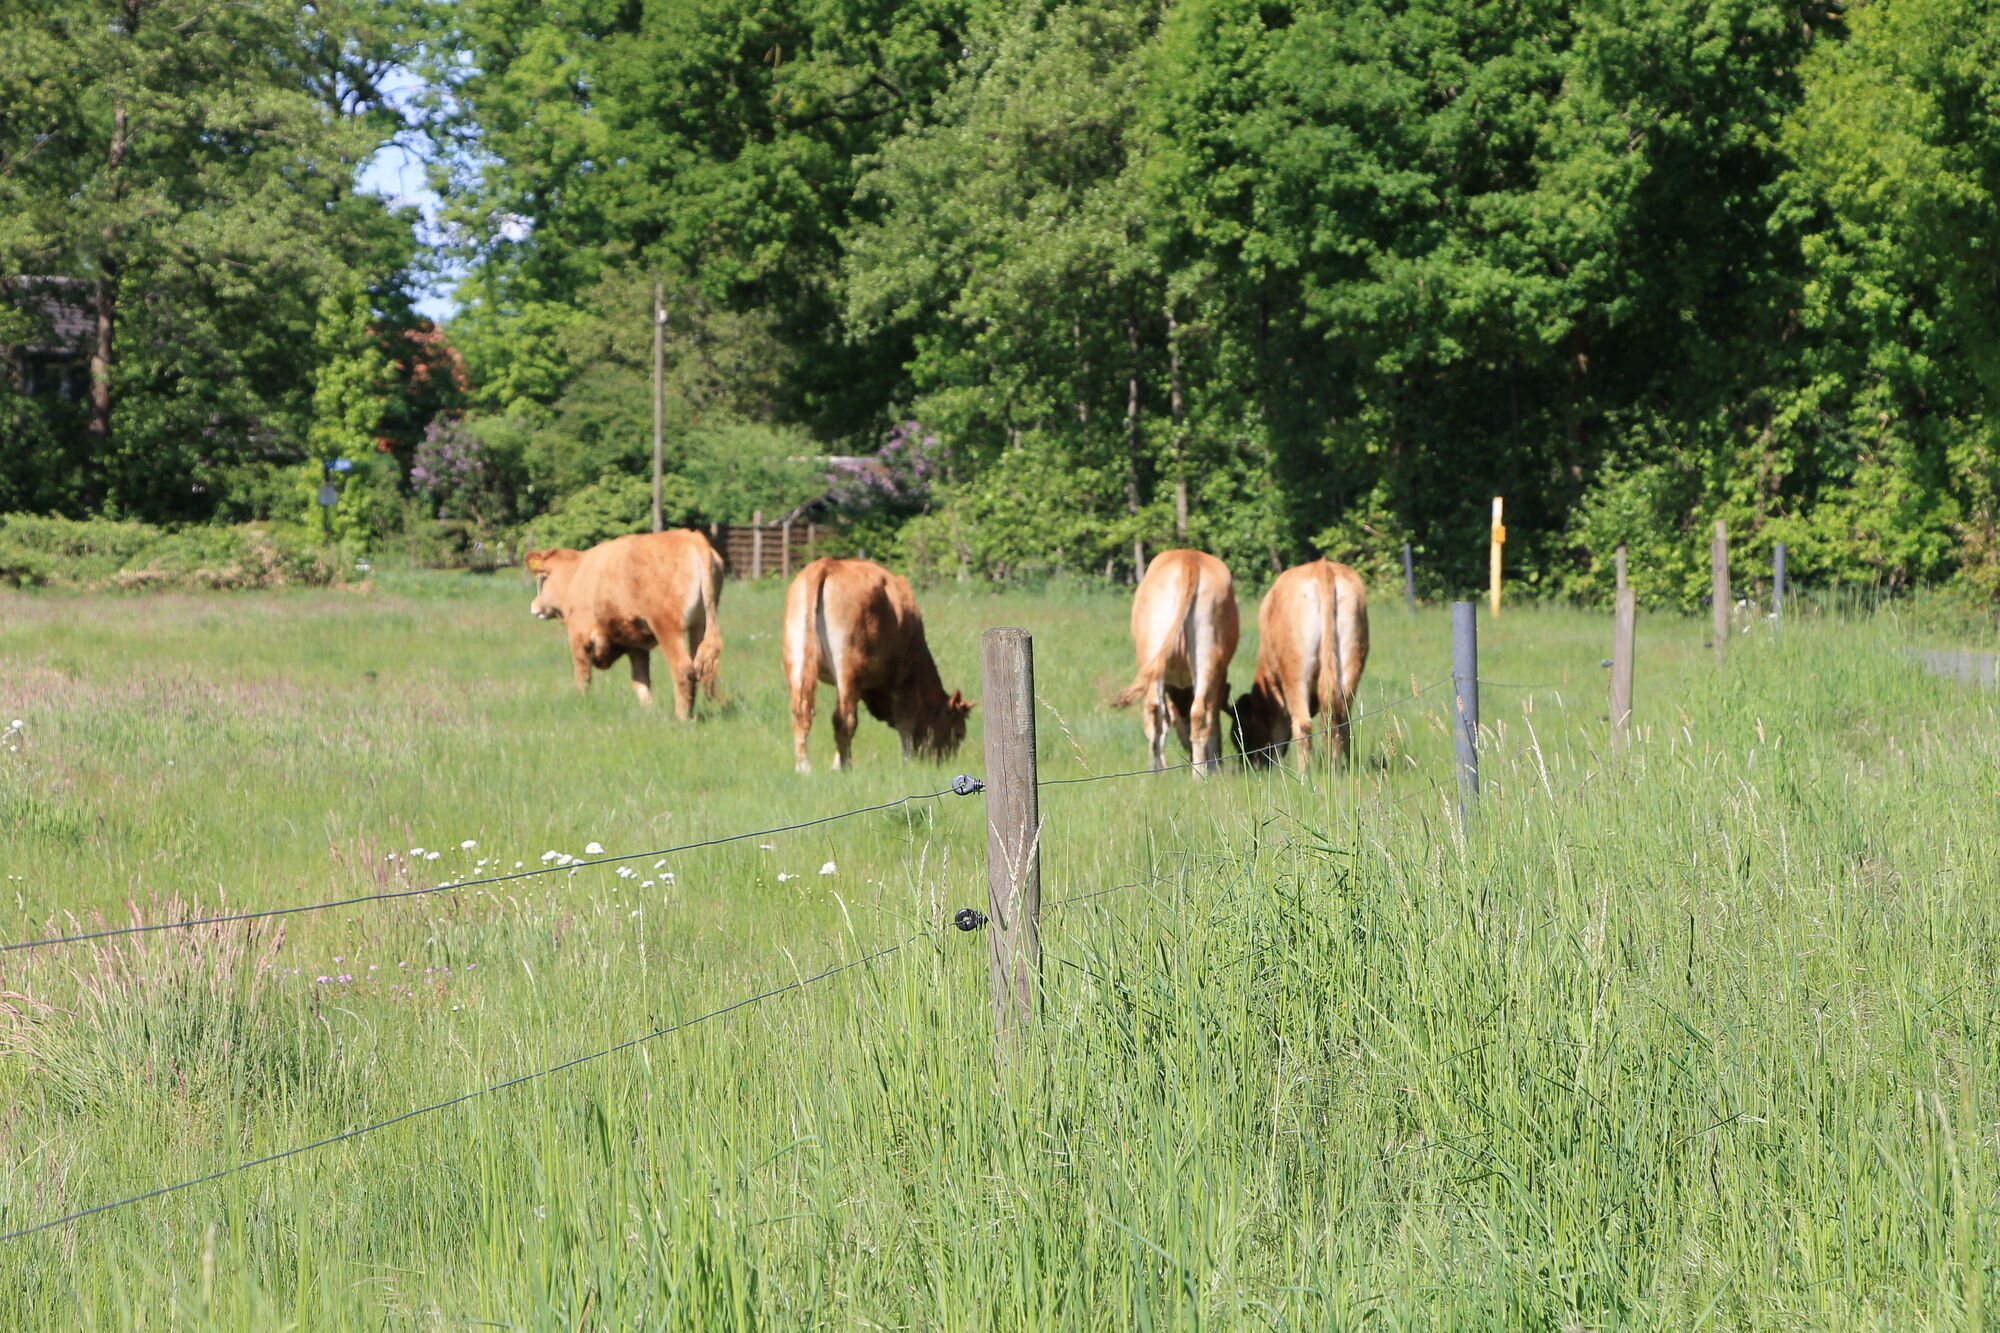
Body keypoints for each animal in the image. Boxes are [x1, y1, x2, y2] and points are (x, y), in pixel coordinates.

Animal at [523, 530, 723, 719]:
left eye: (542, 579)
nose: (533, 606)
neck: (576, 575)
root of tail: (692, 537)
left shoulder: (579, 635)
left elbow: (583, 677)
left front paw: (581, 703)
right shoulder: (637, 645)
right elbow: (640, 680)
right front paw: (648, 710)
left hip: (667, 627)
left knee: (682, 669)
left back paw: (681, 717)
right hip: (700, 625)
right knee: (697, 667)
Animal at [783, 557, 972, 772]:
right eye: (959, 733)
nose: (945, 762)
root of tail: (827, 564)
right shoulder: (904, 677)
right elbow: (905, 721)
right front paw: (907, 762)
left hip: (796, 659)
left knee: (801, 713)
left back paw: (804, 767)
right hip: (849, 664)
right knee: (844, 719)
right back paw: (845, 766)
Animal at [1111, 549, 1240, 777]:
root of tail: (1189, 559)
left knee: (1169, 712)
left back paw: (1175, 772)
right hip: (1200, 655)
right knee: (1185, 712)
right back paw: (1185, 773)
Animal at [1233, 559, 1369, 769]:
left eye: (1243, 733)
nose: (1247, 764)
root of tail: (1323, 567)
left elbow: (1279, 730)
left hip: (1295, 673)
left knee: (1303, 724)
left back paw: (1304, 772)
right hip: (1350, 663)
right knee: (1340, 719)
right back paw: (1339, 768)